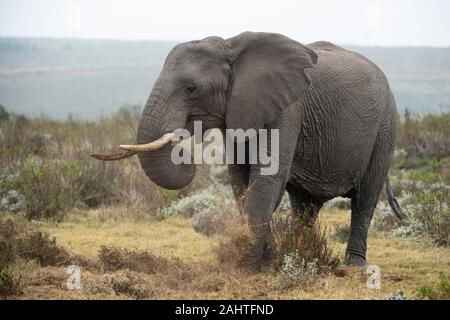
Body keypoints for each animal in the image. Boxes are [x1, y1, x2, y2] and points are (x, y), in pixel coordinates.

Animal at [93, 31, 402, 270]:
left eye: (191, 89)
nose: (184, 148)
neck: (230, 47)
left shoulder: (289, 108)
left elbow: (266, 179)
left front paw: (250, 267)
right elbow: (239, 182)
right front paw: (267, 262)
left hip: (385, 127)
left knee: (365, 199)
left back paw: (353, 266)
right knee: (305, 205)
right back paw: (301, 253)